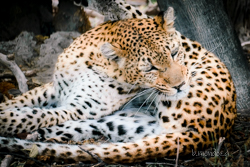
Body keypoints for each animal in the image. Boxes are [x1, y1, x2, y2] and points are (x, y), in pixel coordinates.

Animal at [0, 1, 235, 165]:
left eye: (175, 53)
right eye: (150, 68)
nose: (181, 85)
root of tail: (209, 132)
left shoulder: (78, 108)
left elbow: (32, 115)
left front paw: (6, 120)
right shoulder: (55, 89)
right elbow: (23, 101)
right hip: (120, 123)